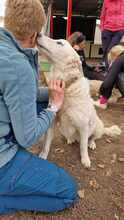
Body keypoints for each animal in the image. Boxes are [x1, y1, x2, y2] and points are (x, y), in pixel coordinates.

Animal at [37, 35, 121, 168]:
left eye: (59, 43)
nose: (39, 34)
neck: (66, 88)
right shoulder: (51, 121)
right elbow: (46, 143)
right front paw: (43, 155)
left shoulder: (83, 126)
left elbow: (83, 147)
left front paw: (85, 159)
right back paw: (71, 139)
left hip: (97, 127)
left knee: (92, 138)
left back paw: (91, 143)